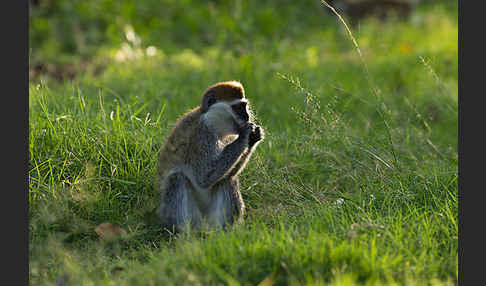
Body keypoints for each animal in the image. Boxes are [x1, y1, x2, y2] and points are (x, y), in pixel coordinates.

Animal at [156, 80, 264, 232]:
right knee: (176, 178)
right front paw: (245, 135)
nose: (247, 116)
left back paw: (225, 232)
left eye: (245, 106)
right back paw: (184, 232)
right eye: (238, 108)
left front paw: (254, 136)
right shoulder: (202, 133)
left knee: (228, 179)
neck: (212, 122)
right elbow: (204, 177)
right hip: (179, 213)